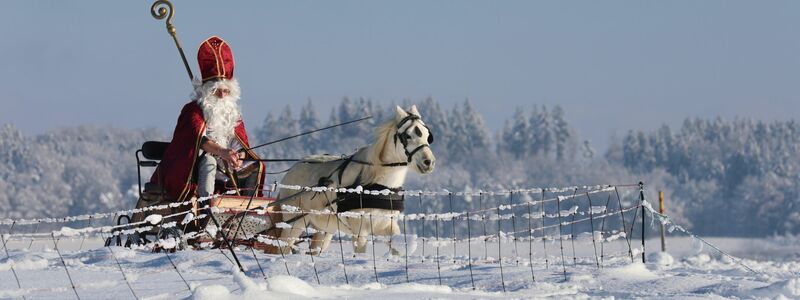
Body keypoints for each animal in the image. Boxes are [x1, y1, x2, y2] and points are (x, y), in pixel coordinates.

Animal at [272, 105, 438, 255]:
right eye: (407, 136)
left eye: (427, 135)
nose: (428, 162)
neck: (378, 183)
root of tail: (292, 169)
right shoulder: (360, 229)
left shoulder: (386, 224)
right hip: (294, 223)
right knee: (283, 248)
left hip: (324, 229)